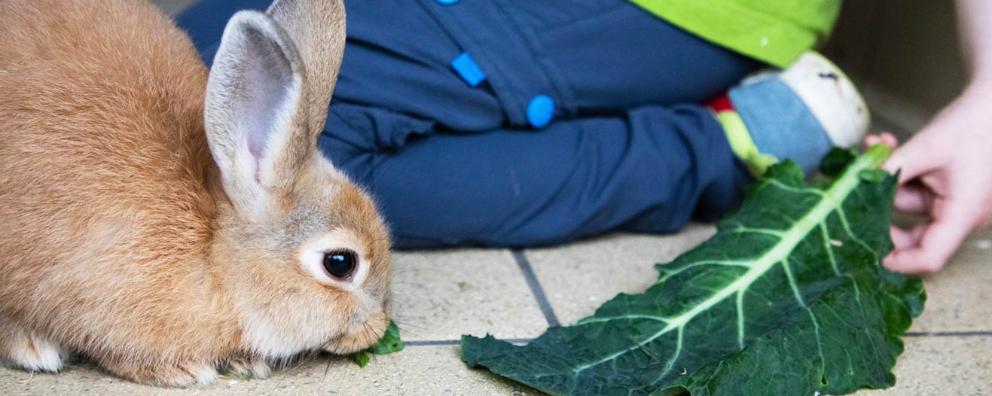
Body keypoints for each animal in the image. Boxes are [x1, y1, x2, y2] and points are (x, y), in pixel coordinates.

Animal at [0, 0, 394, 386]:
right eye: (340, 263)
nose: (377, 328)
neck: (212, 250)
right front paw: (182, 370)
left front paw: (244, 362)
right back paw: (33, 348)